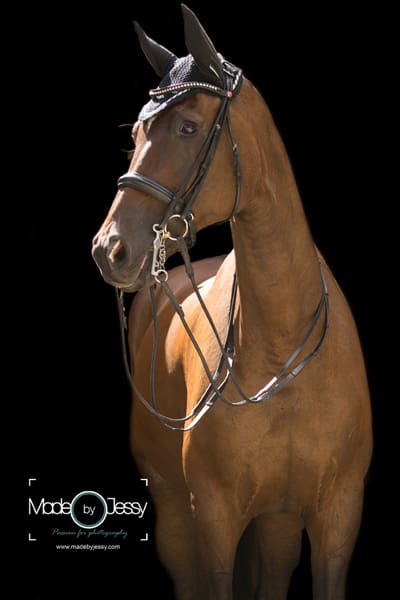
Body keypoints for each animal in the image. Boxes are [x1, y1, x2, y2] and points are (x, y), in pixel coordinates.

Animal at [92, 6, 372, 599]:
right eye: (136, 133)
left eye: (188, 127)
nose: (110, 249)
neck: (281, 348)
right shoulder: (216, 521)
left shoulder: (337, 518)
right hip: (179, 520)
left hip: (279, 524)